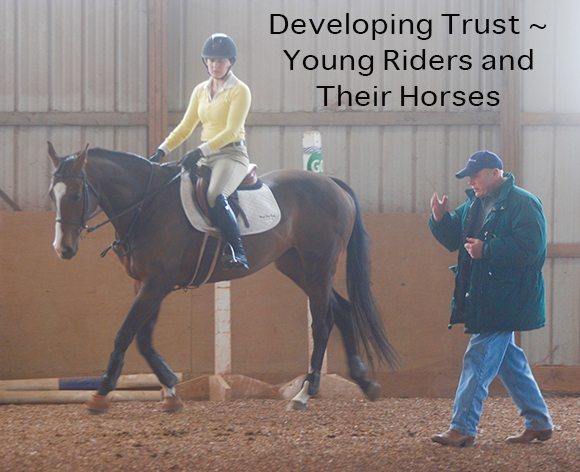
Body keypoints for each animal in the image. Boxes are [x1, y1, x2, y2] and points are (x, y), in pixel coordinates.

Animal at [47, 141, 398, 412]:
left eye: (76, 195)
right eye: (52, 194)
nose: (63, 248)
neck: (147, 205)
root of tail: (332, 183)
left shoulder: (157, 282)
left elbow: (124, 335)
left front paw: (101, 393)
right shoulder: (147, 283)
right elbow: (143, 339)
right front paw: (171, 391)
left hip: (319, 264)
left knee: (323, 324)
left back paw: (303, 394)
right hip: (297, 267)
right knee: (343, 310)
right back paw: (364, 381)